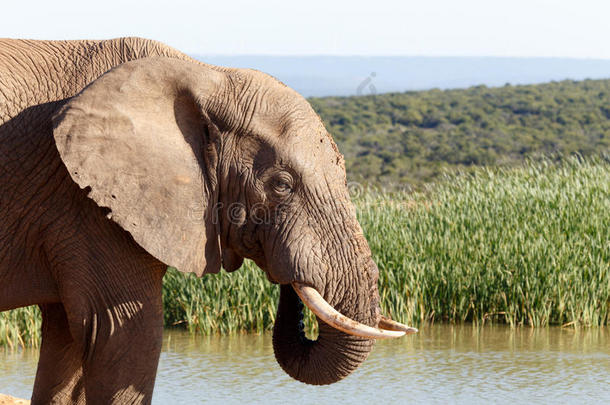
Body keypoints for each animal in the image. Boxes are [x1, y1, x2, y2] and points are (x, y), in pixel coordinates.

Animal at [0, 37, 414, 400]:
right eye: (281, 185)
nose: (288, 275)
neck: (207, 77)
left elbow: (69, 342)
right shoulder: (86, 204)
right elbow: (119, 336)